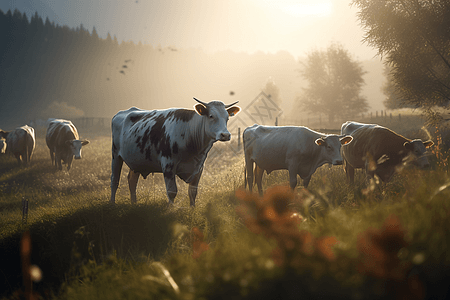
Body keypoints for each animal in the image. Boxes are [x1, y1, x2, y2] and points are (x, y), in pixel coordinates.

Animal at [110, 97, 241, 205]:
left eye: (227, 118)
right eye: (211, 116)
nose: (225, 135)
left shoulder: (199, 168)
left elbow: (193, 193)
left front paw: (192, 211)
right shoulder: (168, 165)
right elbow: (172, 192)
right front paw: (171, 211)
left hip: (136, 161)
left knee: (132, 181)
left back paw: (134, 204)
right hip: (115, 155)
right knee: (114, 180)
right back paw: (112, 204)